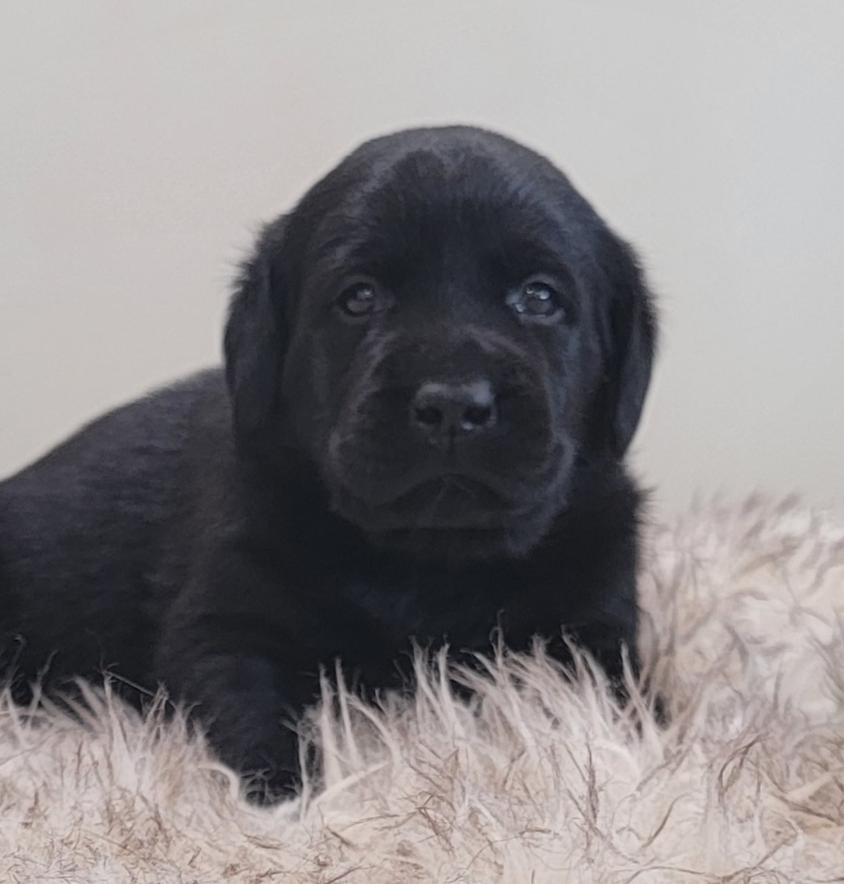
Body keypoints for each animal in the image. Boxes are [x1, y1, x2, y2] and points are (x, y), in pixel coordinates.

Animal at [0, 126, 656, 800]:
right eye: (359, 297)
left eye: (539, 297)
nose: (453, 402)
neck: (432, 562)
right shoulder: (226, 625)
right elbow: (251, 711)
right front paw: (293, 799)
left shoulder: (594, 635)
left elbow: (606, 714)